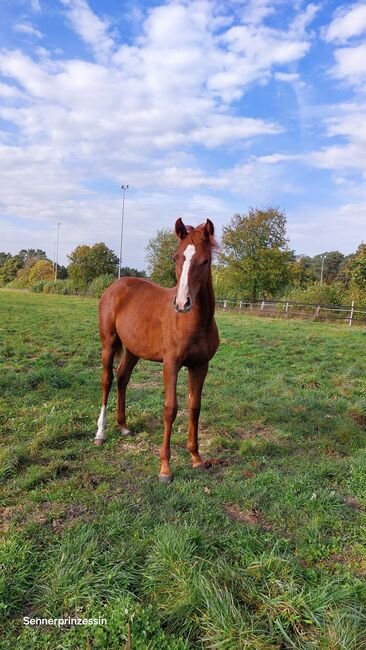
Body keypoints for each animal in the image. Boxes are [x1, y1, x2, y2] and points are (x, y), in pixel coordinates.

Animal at [95, 218, 220, 480]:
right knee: (107, 380)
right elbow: (170, 409)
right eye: (176, 257)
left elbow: (194, 408)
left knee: (122, 377)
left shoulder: (200, 366)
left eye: (206, 260)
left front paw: (196, 458)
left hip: (133, 349)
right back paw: (100, 433)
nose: (182, 303)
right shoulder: (171, 364)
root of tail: (115, 286)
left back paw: (123, 426)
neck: (194, 323)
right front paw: (165, 468)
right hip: (108, 343)